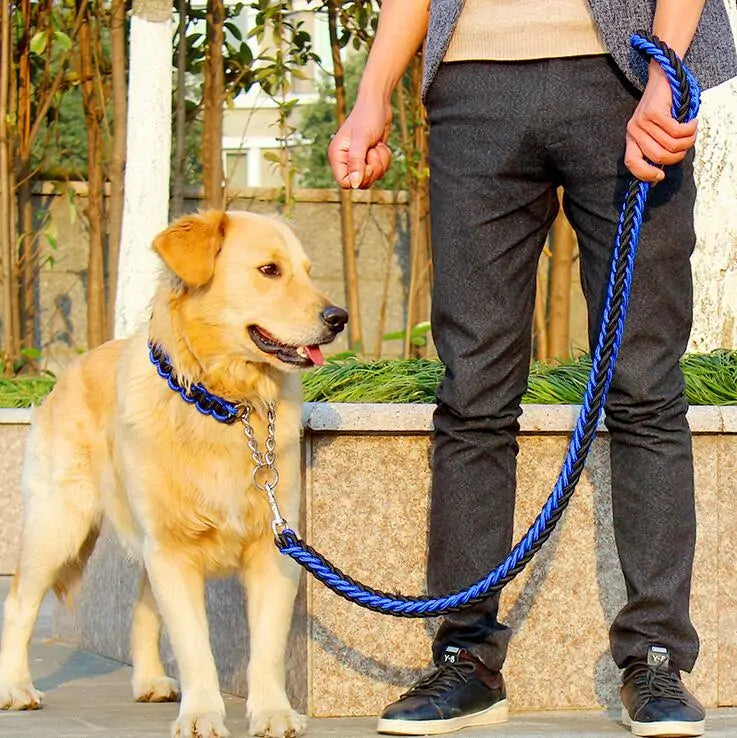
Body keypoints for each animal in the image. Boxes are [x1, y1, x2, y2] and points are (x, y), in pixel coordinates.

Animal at [0, 210, 348, 732]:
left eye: (307, 271)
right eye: (270, 270)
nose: (338, 318)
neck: (223, 405)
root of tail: (68, 371)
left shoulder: (272, 548)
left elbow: (265, 649)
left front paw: (272, 712)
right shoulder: (174, 550)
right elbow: (195, 647)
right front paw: (203, 714)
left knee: (142, 608)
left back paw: (148, 680)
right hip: (59, 523)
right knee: (19, 602)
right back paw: (15, 688)